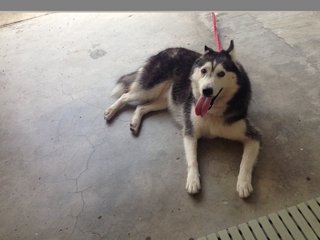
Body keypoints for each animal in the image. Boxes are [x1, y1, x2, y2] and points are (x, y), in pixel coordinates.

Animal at [105, 40, 260, 199]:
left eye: (221, 73)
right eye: (204, 71)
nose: (206, 91)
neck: (213, 111)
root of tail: (168, 50)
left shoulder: (253, 137)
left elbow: (245, 162)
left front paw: (244, 184)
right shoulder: (190, 131)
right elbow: (192, 160)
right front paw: (193, 181)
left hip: (165, 100)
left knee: (140, 107)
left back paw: (135, 123)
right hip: (148, 90)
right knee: (125, 96)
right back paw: (111, 111)